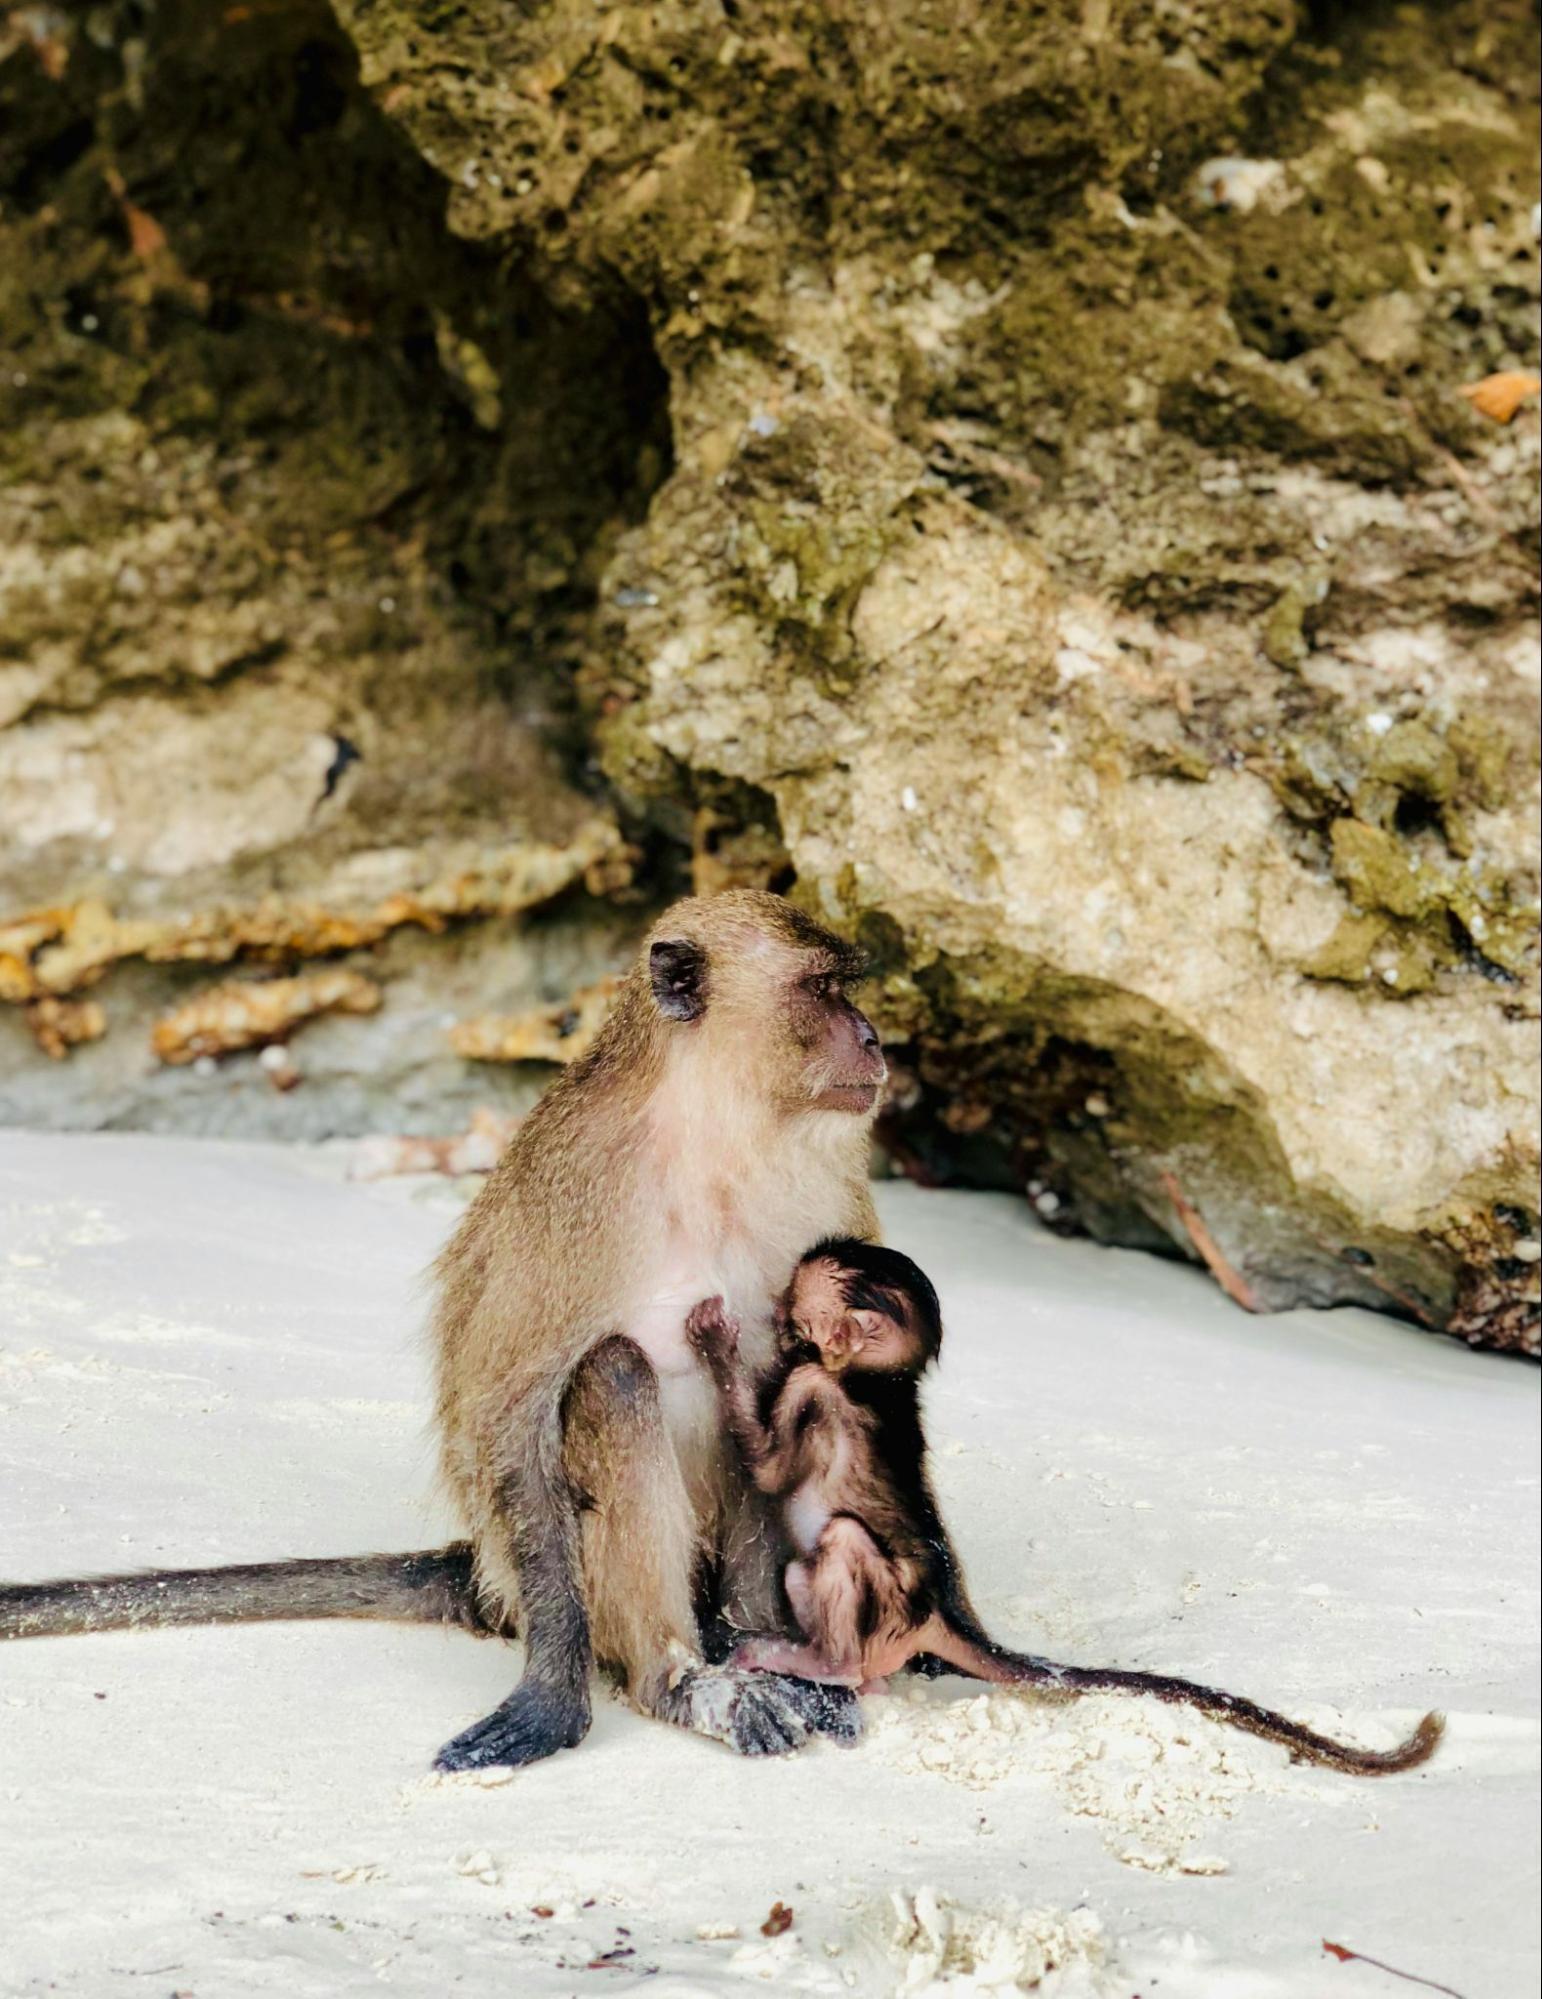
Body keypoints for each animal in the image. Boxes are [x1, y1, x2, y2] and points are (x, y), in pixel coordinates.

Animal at [3, 892, 891, 1772]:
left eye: (844, 986)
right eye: (822, 990)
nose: (874, 1037)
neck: (716, 1132)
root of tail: (487, 1577)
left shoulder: (829, 1174)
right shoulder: (580, 1182)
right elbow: (507, 1410)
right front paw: (554, 1695)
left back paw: (755, 1645)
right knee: (614, 1372)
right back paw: (675, 1677)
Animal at [684, 1238, 1443, 1777]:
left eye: (791, 1301)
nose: (775, 1314)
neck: (878, 1380)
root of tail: (944, 1607)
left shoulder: (814, 1385)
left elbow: (769, 1466)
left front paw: (717, 1343)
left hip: (891, 1597)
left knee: (841, 1541)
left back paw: (826, 1663)